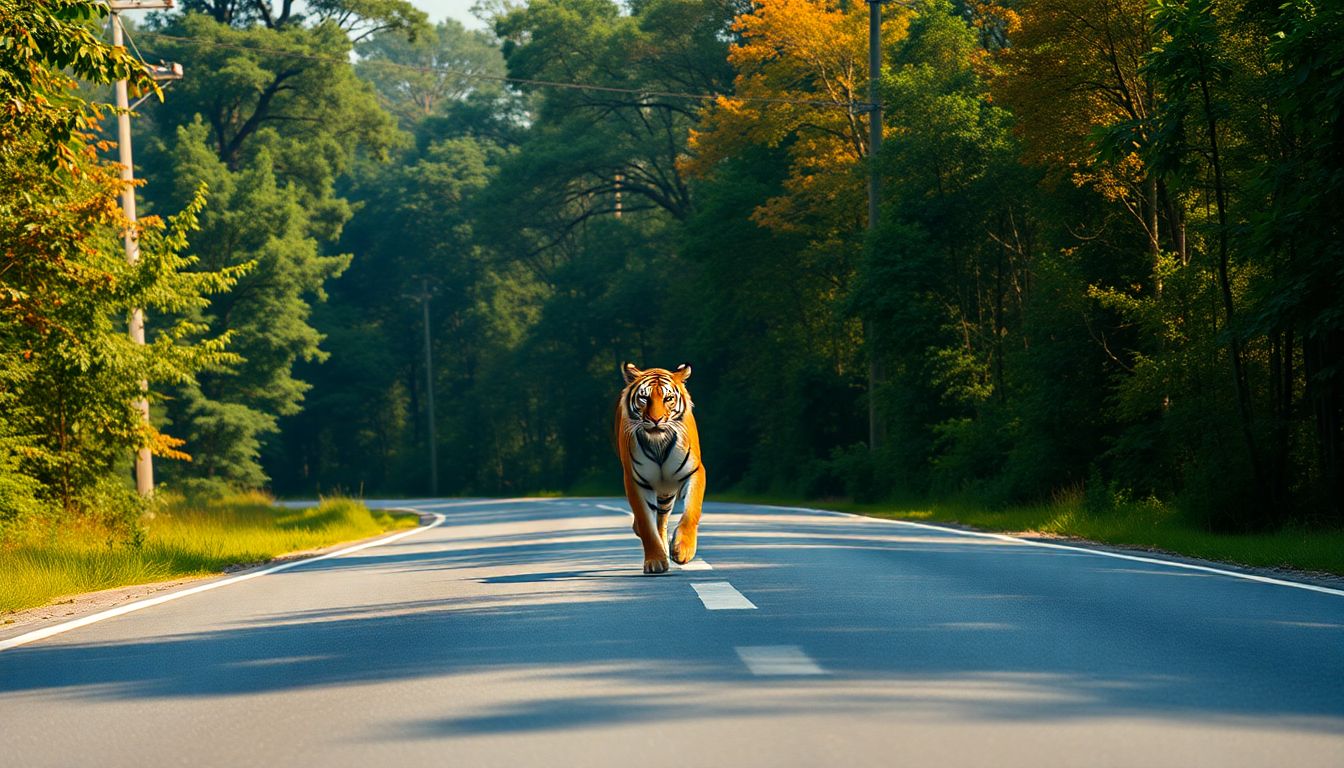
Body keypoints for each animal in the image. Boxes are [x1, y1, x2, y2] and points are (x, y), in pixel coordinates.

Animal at [613, 362, 706, 574]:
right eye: (644, 398)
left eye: (668, 398)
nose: (656, 420)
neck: (658, 445)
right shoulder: (635, 481)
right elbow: (646, 523)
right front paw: (655, 560)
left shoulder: (695, 471)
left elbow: (692, 510)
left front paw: (683, 550)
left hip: (667, 491)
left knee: (662, 521)